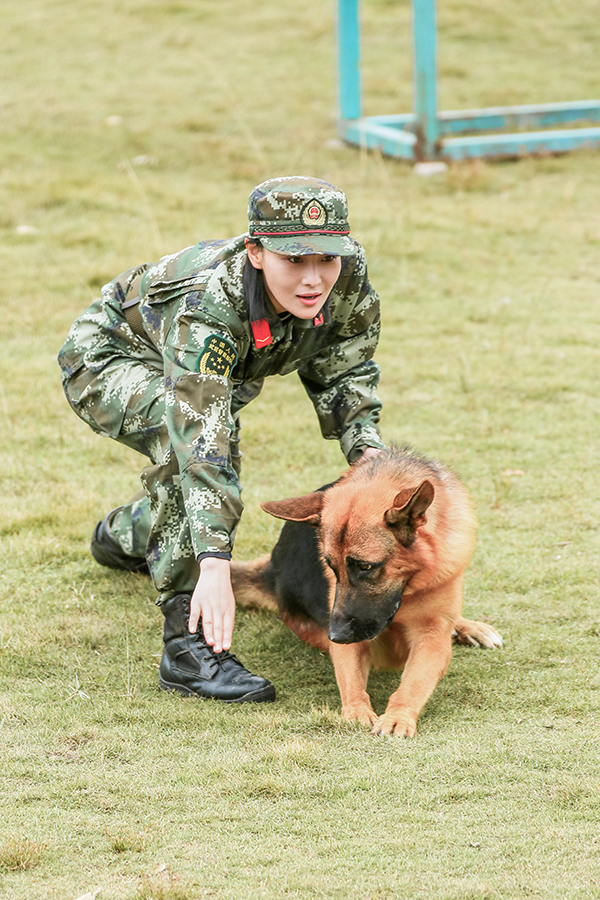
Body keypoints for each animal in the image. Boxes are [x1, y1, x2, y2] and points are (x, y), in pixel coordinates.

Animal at [231, 446, 502, 736]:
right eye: (331, 566)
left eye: (365, 566)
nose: (335, 635)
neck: (407, 590)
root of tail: (273, 565)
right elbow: (350, 679)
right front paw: (357, 711)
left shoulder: (432, 634)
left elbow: (414, 682)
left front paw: (397, 716)